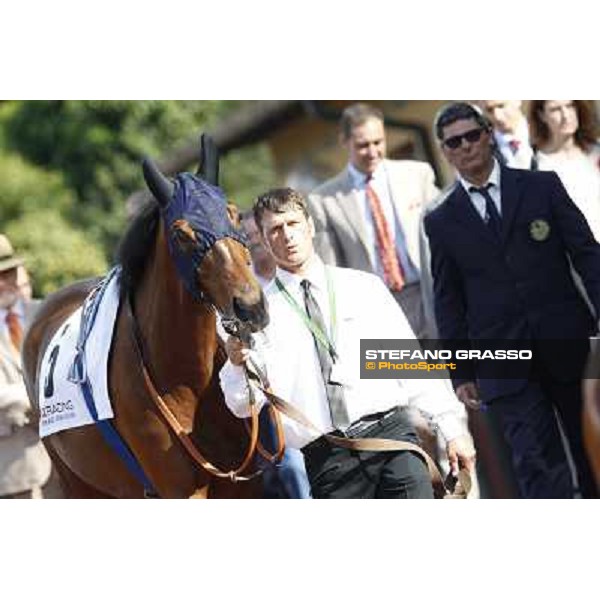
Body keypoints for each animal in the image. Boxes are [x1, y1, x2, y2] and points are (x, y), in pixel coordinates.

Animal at [21, 136, 270, 496]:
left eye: (235, 215)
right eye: (181, 234)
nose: (250, 307)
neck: (185, 379)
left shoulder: (243, 483)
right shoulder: (181, 490)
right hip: (77, 483)